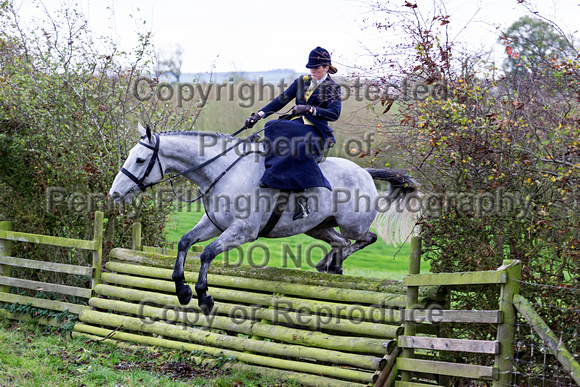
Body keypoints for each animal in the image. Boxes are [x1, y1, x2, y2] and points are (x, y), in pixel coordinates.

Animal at [109, 124, 420, 316]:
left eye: (140, 160)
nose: (114, 194)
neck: (222, 171)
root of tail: (365, 172)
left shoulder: (243, 231)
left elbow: (207, 253)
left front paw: (204, 296)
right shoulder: (215, 224)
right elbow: (185, 243)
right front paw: (182, 290)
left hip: (352, 224)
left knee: (366, 238)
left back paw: (332, 264)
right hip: (318, 227)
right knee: (340, 242)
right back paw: (330, 265)